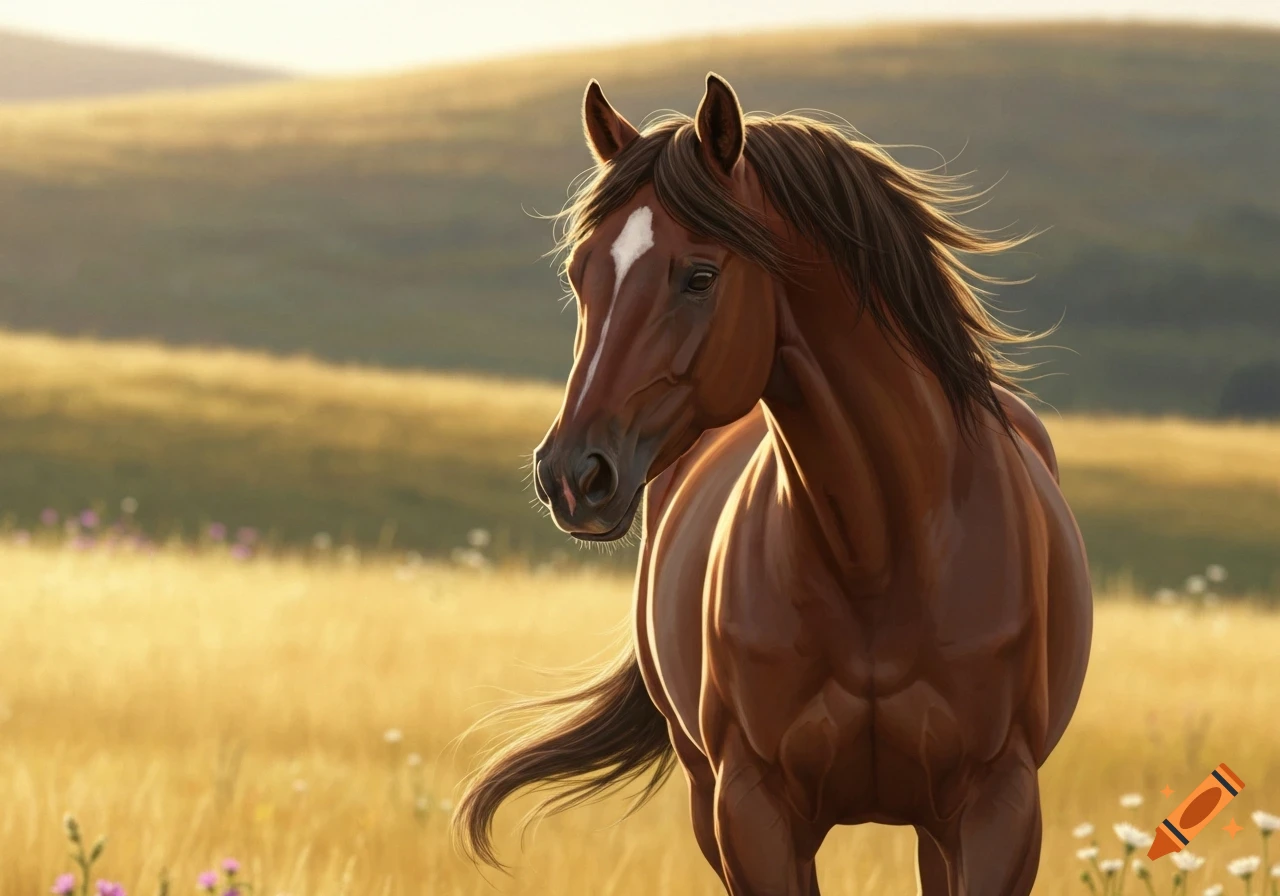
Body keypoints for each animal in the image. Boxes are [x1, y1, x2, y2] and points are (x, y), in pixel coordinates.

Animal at [453, 73, 1093, 896]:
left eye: (699, 276)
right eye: (579, 273)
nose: (573, 475)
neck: (879, 555)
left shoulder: (997, 808)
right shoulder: (752, 811)